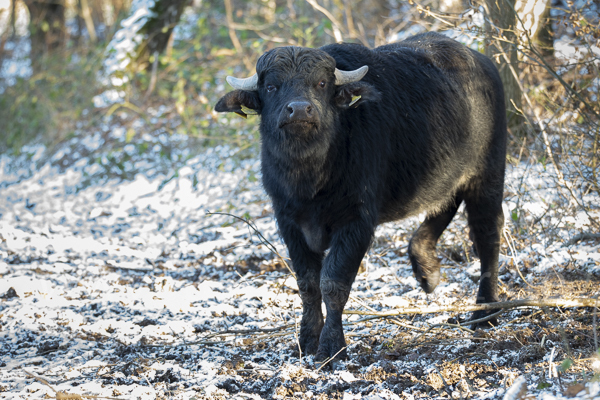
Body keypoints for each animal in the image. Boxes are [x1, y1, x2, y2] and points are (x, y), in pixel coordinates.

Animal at [216, 32, 506, 364]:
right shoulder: (288, 220)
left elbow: (333, 282)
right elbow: (307, 283)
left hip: (488, 173)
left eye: (321, 83)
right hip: (445, 172)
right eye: (271, 86)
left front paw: (332, 346)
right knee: (443, 207)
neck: (310, 178)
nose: (300, 110)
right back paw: (427, 271)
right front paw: (307, 339)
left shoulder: (357, 222)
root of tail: (482, 62)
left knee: (487, 234)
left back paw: (485, 312)